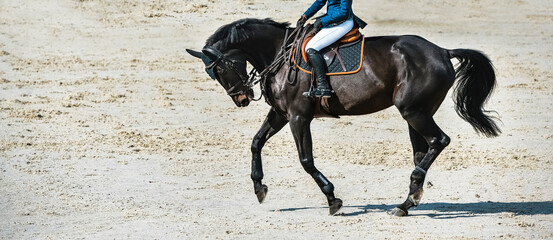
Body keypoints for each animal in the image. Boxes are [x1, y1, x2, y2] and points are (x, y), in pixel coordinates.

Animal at [187, 18, 500, 216]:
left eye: (220, 69)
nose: (241, 99)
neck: (278, 54)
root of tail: (442, 51)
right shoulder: (280, 114)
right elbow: (256, 142)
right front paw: (259, 187)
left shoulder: (298, 117)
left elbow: (306, 160)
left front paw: (332, 198)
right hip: (416, 114)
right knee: (423, 149)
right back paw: (408, 200)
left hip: (413, 111)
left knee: (439, 140)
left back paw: (409, 197)